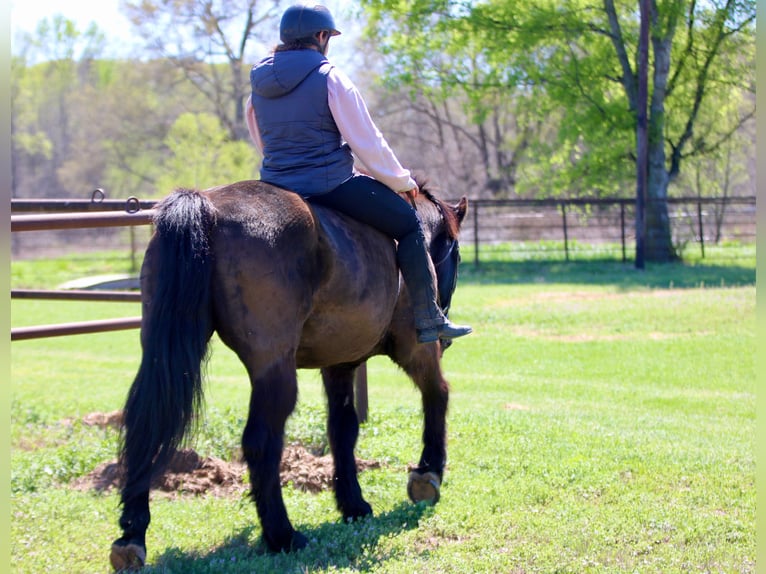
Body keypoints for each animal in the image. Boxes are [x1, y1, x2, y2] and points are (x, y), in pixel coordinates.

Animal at [109, 178, 467, 570]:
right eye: (457, 256)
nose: (446, 334)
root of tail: (207, 206)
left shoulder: (339, 364)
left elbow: (342, 429)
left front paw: (353, 504)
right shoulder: (414, 348)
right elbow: (438, 394)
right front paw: (428, 473)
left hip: (163, 352)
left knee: (145, 427)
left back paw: (131, 536)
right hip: (276, 369)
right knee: (260, 441)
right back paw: (282, 534)